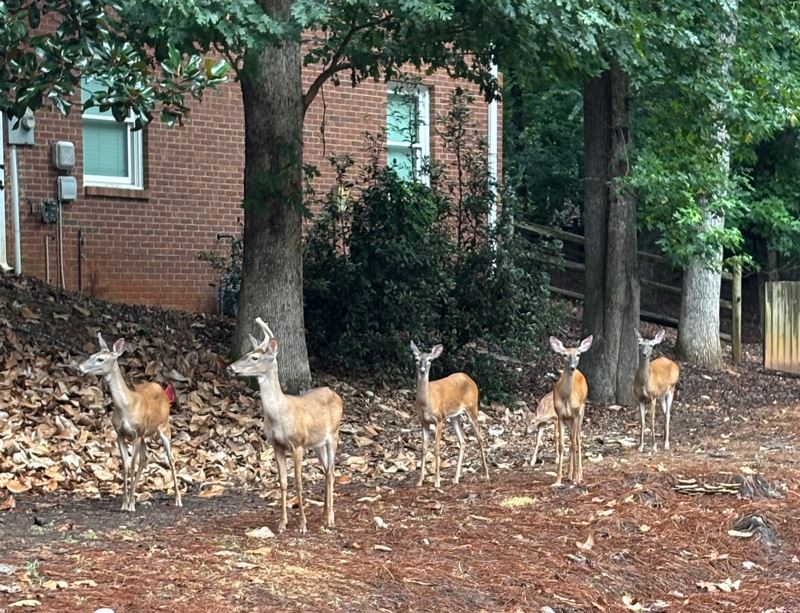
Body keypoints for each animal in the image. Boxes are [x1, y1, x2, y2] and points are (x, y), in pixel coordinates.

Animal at [78, 333, 182, 512]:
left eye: (100, 359)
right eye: (91, 355)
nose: (80, 367)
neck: (126, 407)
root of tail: (162, 389)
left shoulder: (137, 433)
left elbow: (132, 464)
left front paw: (131, 504)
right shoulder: (120, 434)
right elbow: (125, 466)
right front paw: (124, 503)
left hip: (163, 427)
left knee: (171, 458)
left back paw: (178, 499)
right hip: (145, 434)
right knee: (146, 457)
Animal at [227, 318, 343, 534]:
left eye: (254, 357)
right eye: (246, 353)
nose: (230, 368)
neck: (279, 415)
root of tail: (335, 394)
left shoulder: (297, 444)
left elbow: (298, 483)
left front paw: (302, 525)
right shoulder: (276, 446)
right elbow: (282, 483)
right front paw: (282, 523)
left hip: (333, 434)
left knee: (331, 471)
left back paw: (330, 518)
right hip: (317, 443)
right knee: (325, 470)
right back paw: (324, 514)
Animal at [410, 342, 490, 487]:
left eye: (430, 360)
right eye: (416, 359)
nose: (422, 370)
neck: (426, 401)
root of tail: (470, 379)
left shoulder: (439, 418)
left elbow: (436, 449)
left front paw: (437, 481)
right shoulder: (423, 422)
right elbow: (423, 449)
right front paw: (419, 481)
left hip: (472, 408)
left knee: (480, 437)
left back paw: (485, 474)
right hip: (454, 416)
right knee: (463, 441)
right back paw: (456, 478)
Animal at [548, 335, 593, 486]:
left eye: (578, 354)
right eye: (564, 355)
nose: (573, 367)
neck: (566, 397)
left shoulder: (575, 414)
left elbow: (573, 444)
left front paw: (576, 478)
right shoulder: (560, 416)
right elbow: (562, 445)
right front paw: (558, 479)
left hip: (581, 411)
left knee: (578, 439)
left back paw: (578, 475)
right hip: (569, 420)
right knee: (572, 439)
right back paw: (569, 474)